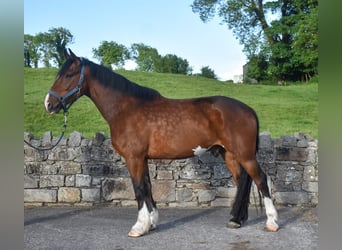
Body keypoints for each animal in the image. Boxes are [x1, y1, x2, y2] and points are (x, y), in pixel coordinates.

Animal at [44, 48, 278, 236]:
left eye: (69, 74)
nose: (49, 104)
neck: (126, 109)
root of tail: (248, 109)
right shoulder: (142, 158)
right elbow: (147, 187)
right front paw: (152, 223)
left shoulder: (134, 158)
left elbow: (139, 189)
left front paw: (138, 227)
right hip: (229, 154)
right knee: (243, 182)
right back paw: (236, 220)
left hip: (244, 155)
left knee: (261, 179)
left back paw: (272, 222)